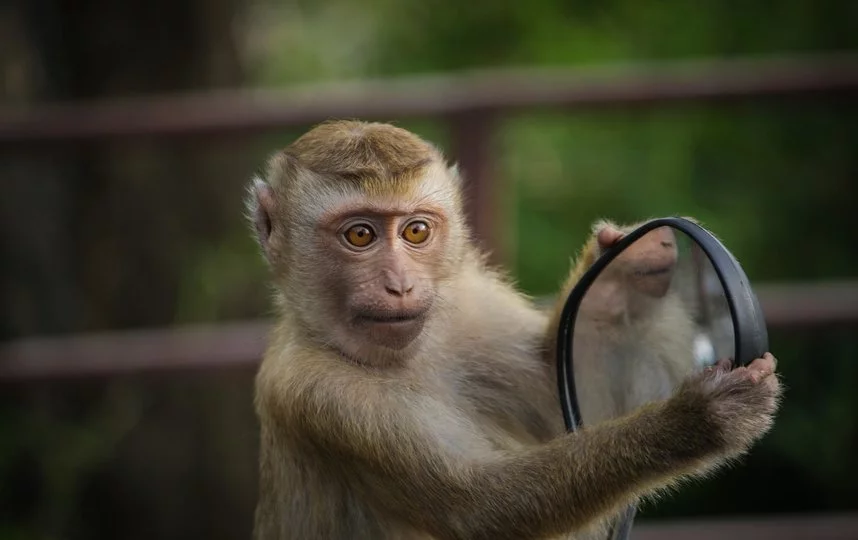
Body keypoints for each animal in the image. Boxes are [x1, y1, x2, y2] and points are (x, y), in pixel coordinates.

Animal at [244, 121, 780, 540]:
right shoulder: (319, 394)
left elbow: (558, 392)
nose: (399, 284)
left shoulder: (470, 307)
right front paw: (695, 421)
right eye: (360, 235)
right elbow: (481, 507)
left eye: (416, 231)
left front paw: (621, 273)